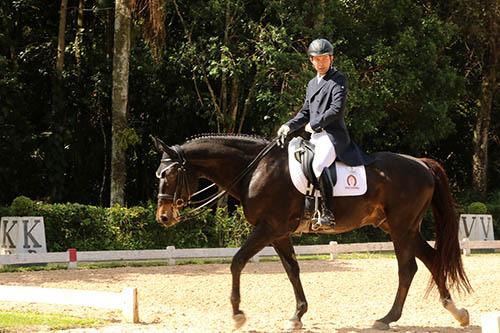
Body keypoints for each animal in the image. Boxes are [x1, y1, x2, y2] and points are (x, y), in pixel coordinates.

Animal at [151, 132, 468, 330]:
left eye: (169, 175)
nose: (163, 217)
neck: (256, 169)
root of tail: (421, 163)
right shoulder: (278, 233)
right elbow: (292, 270)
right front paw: (297, 315)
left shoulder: (269, 228)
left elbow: (237, 261)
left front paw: (238, 314)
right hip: (400, 227)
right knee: (432, 260)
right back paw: (457, 311)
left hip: (402, 228)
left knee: (408, 268)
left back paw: (387, 318)